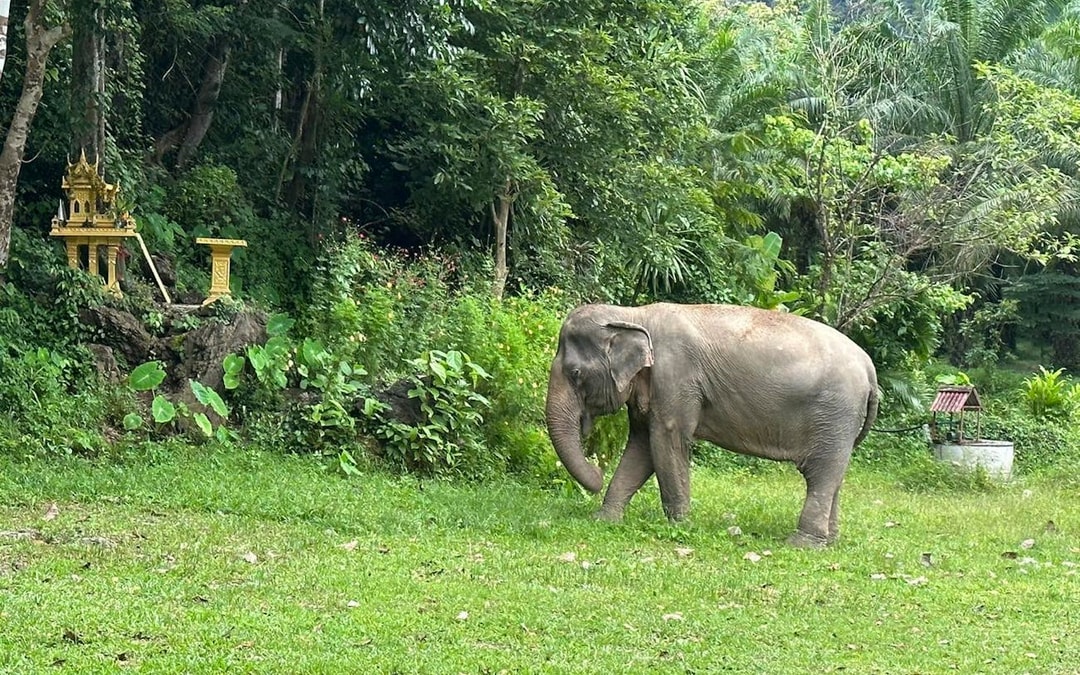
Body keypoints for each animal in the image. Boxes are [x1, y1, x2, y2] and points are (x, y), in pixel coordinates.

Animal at [545, 302, 878, 548]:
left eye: (575, 373)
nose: (597, 471)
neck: (633, 315)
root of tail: (869, 369)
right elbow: (641, 447)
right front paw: (604, 519)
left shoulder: (676, 379)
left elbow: (666, 442)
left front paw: (680, 526)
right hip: (840, 422)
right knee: (834, 476)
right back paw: (829, 542)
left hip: (836, 413)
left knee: (821, 475)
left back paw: (801, 544)